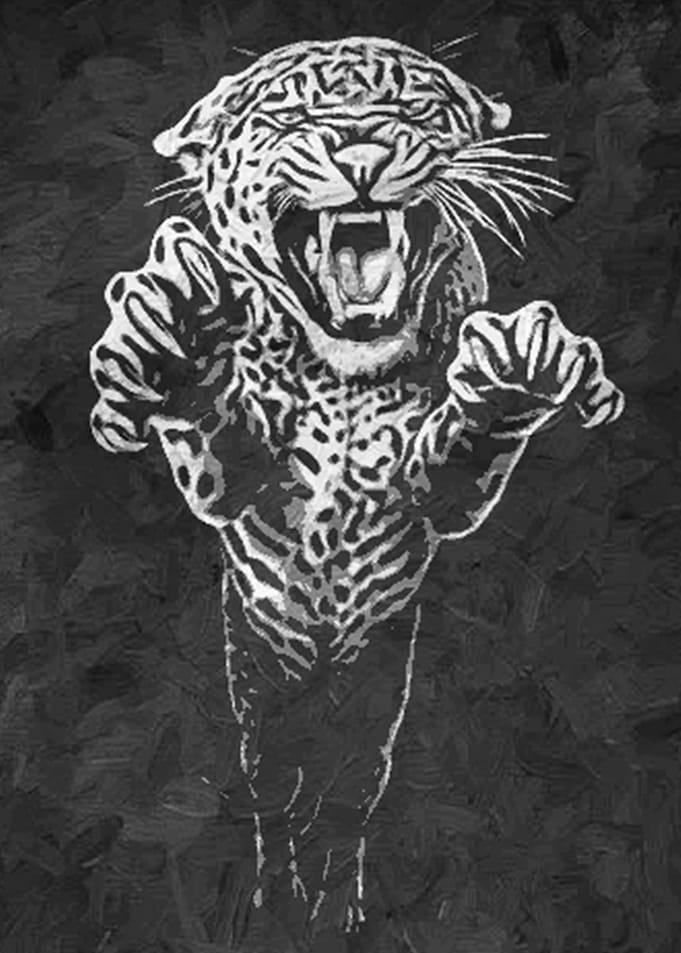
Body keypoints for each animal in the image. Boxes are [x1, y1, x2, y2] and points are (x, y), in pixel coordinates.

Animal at [88, 35, 625, 933]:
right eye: (290, 114)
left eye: (412, 107)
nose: (362, 152)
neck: (347, 378)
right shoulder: (238, 484)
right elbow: (219, 433)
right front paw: (181, 337)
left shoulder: (434, 493)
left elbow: (458, 450)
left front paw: (516, 374)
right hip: (264, 696)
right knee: (277, 797)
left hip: (367, 703)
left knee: (342, 805)